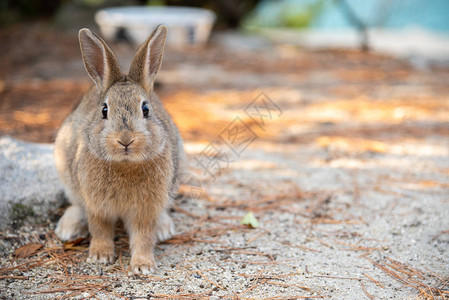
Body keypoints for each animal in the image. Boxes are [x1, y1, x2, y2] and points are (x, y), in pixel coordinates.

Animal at [53, 25, 186, 274]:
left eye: (145, 109)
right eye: (104, 110)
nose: (125, 140)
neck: (125, 165)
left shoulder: (146, 210)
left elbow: (143, 237)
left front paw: (144, 266)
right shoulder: (97, 207)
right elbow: (100, 230)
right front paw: (99, 256)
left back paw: (164, 229)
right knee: (75, 204)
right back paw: (67, 229)